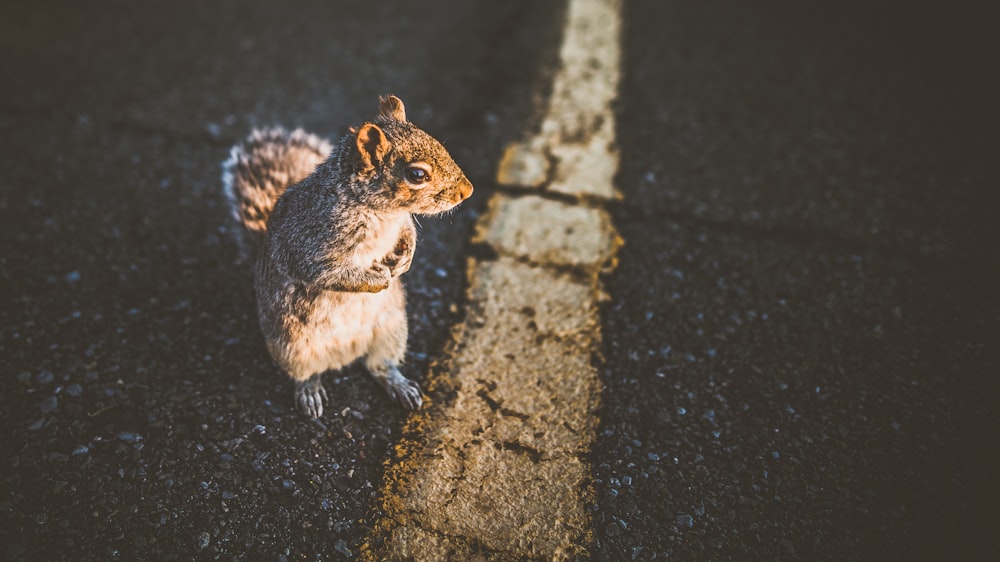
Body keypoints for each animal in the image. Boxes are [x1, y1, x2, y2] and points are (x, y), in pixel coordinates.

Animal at [225, 95, 474, 416]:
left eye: (437, 143)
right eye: (417, 175)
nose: (468, 191)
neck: (379, 211)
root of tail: (345, 356)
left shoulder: (401, 221)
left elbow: (408, 231)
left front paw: (405, 258)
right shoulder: (308, 244)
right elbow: (325, 273)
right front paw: (377, 279)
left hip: (393, 330)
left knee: (379, 365)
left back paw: (400, 385)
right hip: (292, 349)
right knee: (306, 375)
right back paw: (310, 393)